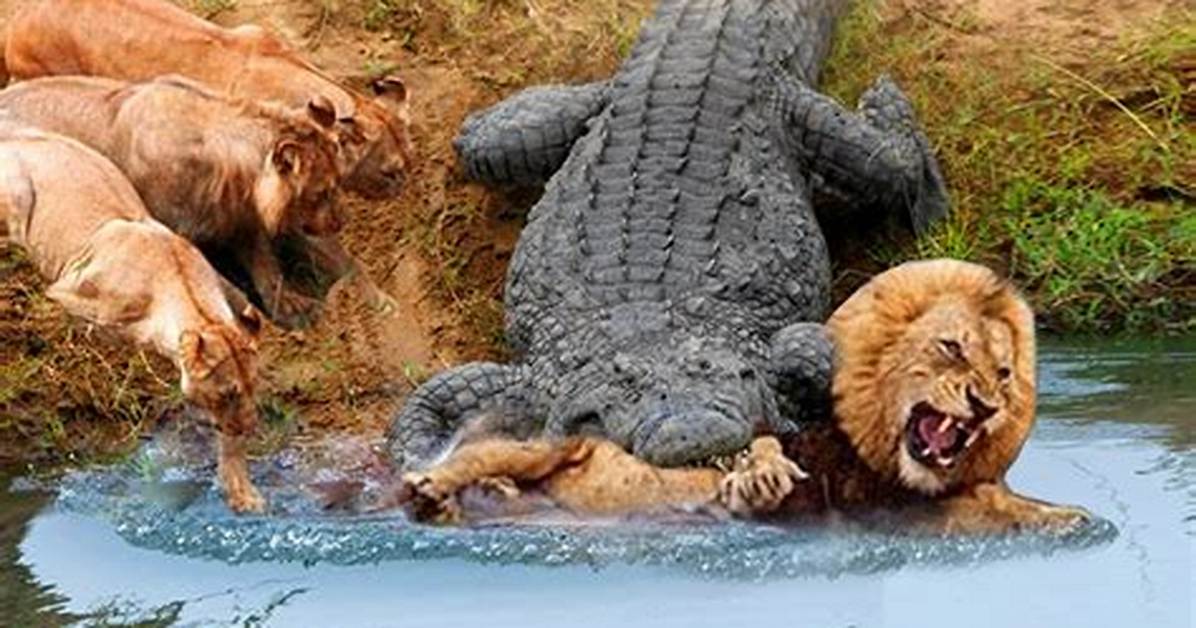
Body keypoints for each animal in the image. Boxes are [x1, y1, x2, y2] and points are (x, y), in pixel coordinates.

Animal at [0, 75, 345, 328]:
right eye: (321, 192)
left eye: (338, 182)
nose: (340, 222)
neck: (231, 177)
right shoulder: (172, 229)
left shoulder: (240, 219)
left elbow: (266, 266)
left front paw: (290, 306)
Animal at [0, 121, 267, 513]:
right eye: (227, 393)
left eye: (252, 387)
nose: (250, 427)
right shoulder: (65, 294)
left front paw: (243, 492)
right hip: (18, 192)